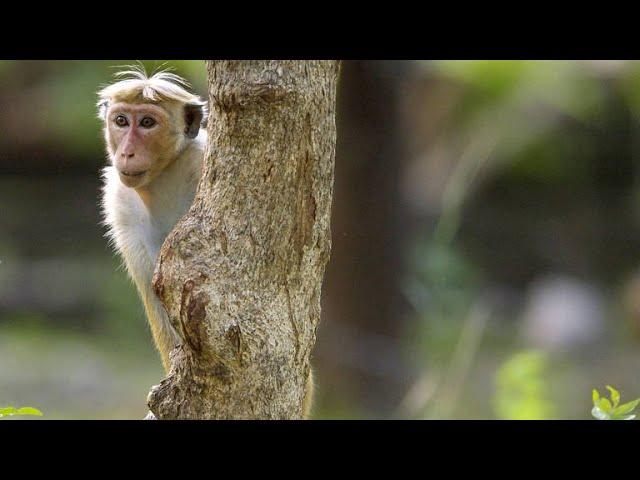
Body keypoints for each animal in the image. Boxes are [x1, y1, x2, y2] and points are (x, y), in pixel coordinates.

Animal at [97, 65, 316, 418]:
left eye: (147, 123)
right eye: (121, 121)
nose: (126, 152)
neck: (164, 180)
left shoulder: (203, 164)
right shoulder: (121, 205)